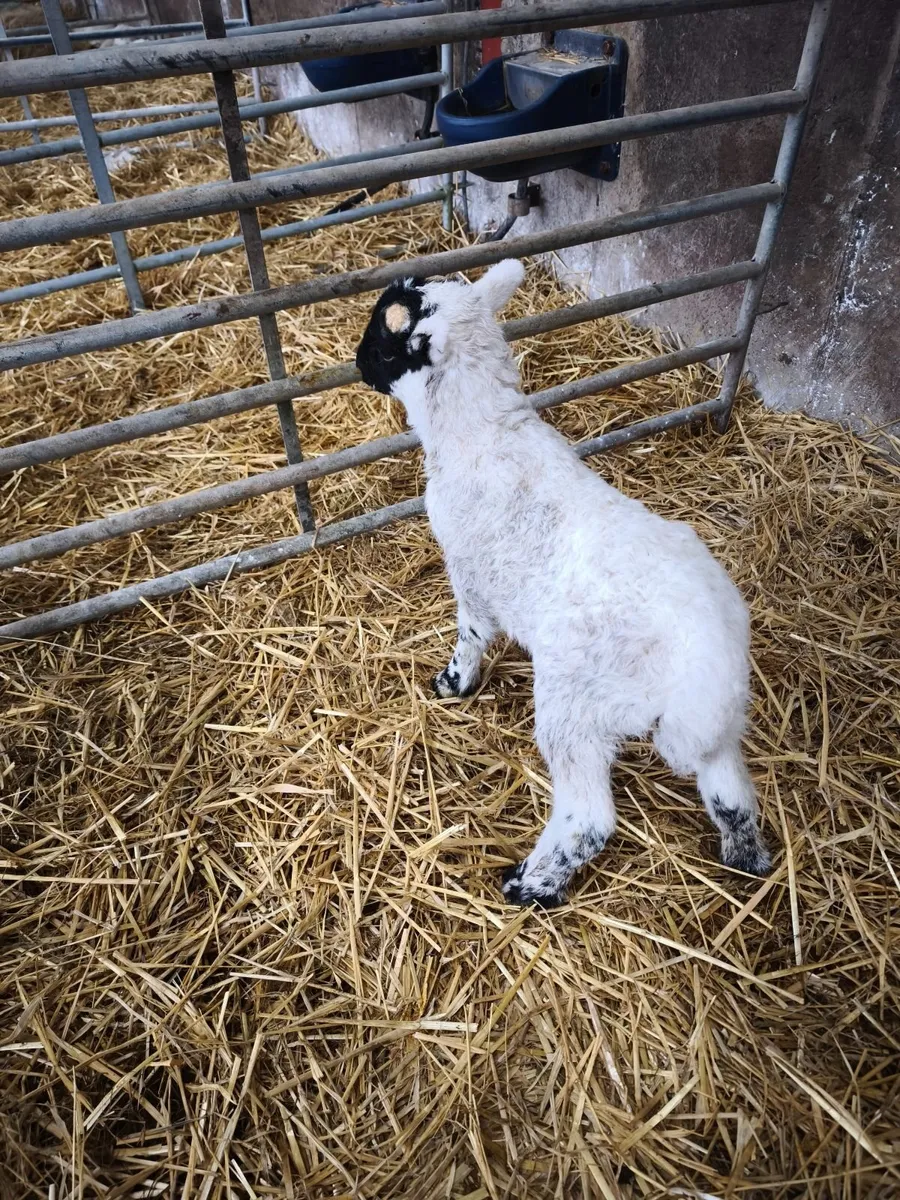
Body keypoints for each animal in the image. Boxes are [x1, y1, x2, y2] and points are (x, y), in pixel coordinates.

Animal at [355, 260, 771, 907]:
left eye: (382, 338)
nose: (356, 363)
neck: (485, 432)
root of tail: (705, 667)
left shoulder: (469, 572)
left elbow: (472, 633)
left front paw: (452, 684)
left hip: (577, 705)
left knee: (590, 816)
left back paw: (532, 883)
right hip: (720, 725)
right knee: (731, 796)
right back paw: (746, 860)